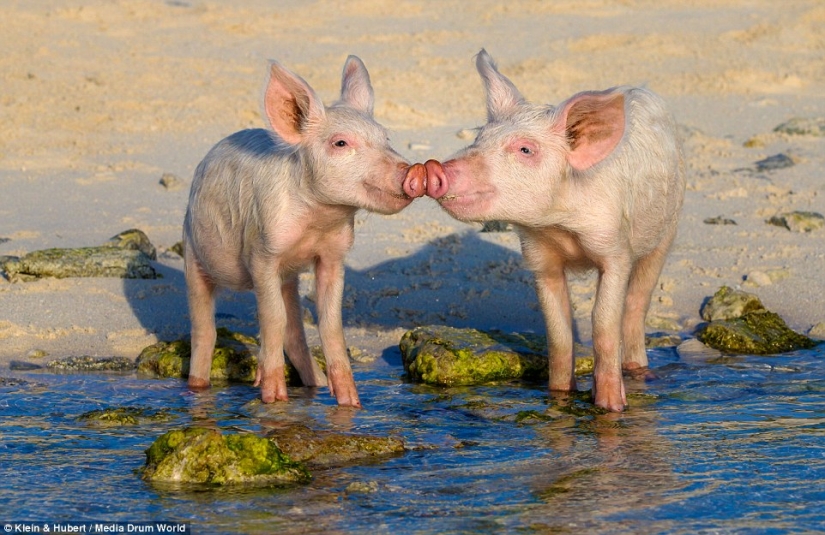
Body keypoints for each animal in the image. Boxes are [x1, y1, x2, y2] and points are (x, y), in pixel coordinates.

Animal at [183, 56, 428, 407]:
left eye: (387, 139)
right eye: (340, 142)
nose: (413, 170)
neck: (317, 223)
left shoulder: (333, 255)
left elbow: (330, 323)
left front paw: (351, 404)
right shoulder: (262, 252)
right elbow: (272, 318)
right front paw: (273, 401)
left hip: (288, 278)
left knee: (295, 332)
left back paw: (315, 385)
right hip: (192, 249)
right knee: (205, 329)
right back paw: (197, 389)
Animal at [425, 50, 685, 412]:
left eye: (525, 149)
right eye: (479, 138)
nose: (434, 166)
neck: (561, 226)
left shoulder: (614, 247)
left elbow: (603, 322)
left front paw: (610, 408)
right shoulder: (539, 256)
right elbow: (558, 332)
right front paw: (560, 398)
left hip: (668, 229)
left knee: (636, 304)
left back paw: (641, 375)